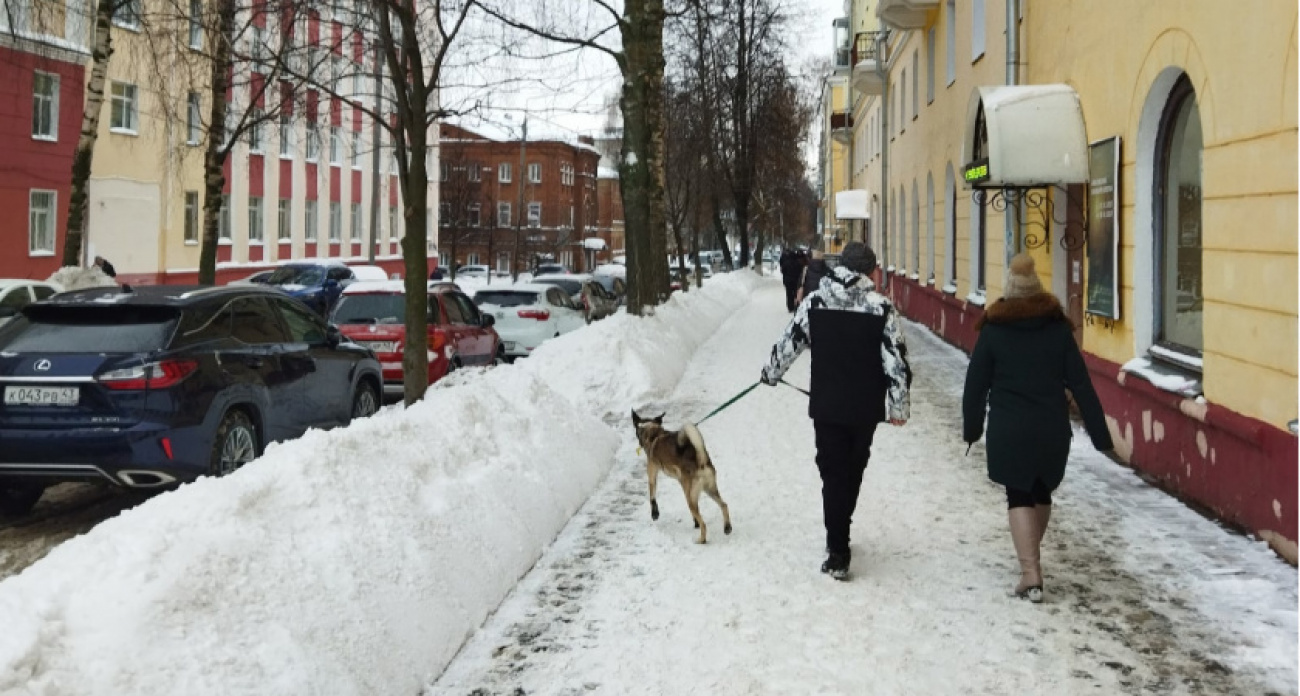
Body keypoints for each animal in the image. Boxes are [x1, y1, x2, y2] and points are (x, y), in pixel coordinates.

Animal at [631, 408, 733, 543]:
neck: (654, 432)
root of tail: (701, 461)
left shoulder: (652, 473)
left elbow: (652, 496)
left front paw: (655, 514)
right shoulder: (681, 483)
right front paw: (695, 522)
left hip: (692, 497)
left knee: (704, 523)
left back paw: (701, 540)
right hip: (709, 489)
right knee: (724, 505)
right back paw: (727, 527)